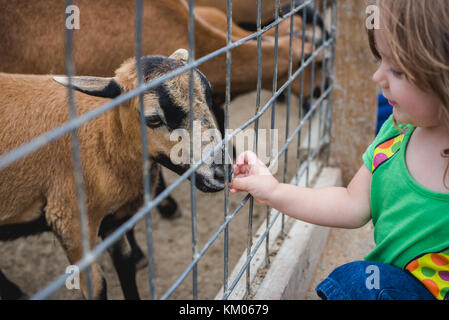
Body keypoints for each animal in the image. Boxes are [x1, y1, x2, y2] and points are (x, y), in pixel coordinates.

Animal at [0, 48, 229, 298]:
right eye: (153, 119)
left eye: (208, 98)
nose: (223, 172)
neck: (104, 137)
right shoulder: (69, 221)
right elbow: (97, 286)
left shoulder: (114, 220)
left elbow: (125, 262)